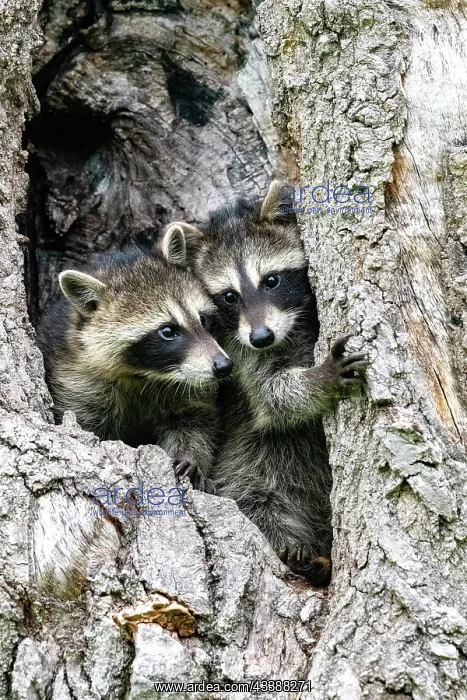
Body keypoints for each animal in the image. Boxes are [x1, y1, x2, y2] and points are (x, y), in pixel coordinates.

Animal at [37, 225, 233, 492]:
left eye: (202, 319)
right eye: (168, 331)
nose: (224, 366)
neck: (144, 375)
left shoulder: (187, 385)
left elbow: (194, 423)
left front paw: (192, 458)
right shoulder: (76, 381)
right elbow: (84, 423)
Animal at [168, 182, 368, 585]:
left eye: (271, 281)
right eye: (229, 296)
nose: (261, 336)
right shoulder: (238, 353)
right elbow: (271, 398)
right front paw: (320, 378)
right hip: (249, 470)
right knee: (258, 500)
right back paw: (300, 554)